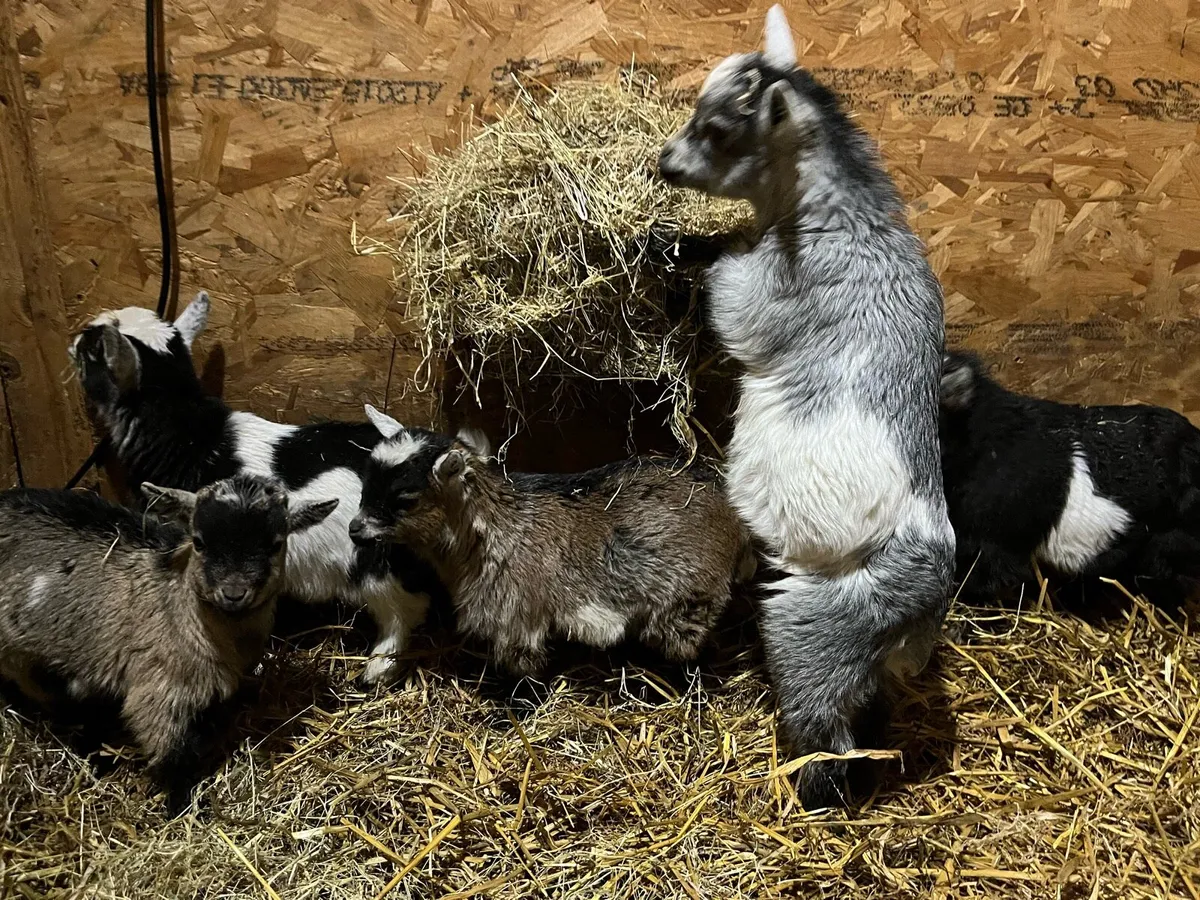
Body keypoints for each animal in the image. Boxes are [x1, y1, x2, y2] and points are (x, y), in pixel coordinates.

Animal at [0, 475, 337, 815]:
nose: (233, 593)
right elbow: (172, 756)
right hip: (23, 658)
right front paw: (183, 808)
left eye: (275, 544)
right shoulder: (160, 689)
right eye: (199, 542)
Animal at [68, 293, 440, 685]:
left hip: (375, 565)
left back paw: (378, 667)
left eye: (93, 349)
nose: (77, 337)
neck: (191, 439)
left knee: (405, 608)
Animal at [349, 406, 757, 681]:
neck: (496, 529)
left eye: (405, 499)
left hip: (688, 599)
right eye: (367, 479)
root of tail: (735, 520)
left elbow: (522, 668)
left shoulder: (516, 617)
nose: (354, 528)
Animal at [657, 4, 955, 808]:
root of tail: (926, 588)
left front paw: (674, 246)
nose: (664, 166)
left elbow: (726, 294)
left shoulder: (769, 295)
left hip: (817, 622)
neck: (840, 217)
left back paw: (810, 788)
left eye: (719, 128)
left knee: (824, 720)